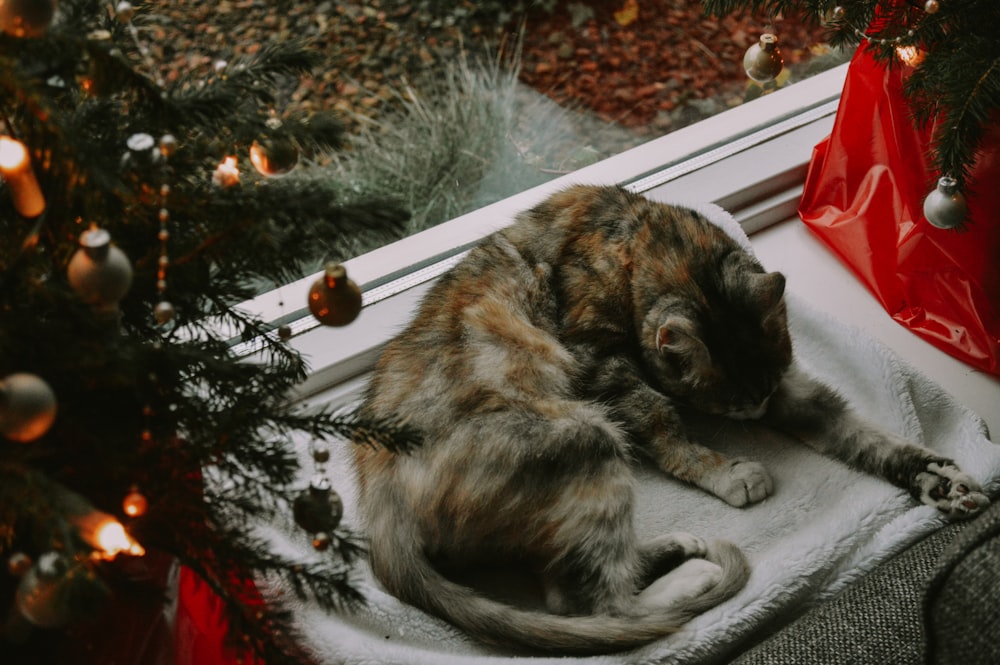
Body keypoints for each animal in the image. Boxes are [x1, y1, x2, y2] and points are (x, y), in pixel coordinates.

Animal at [348, 184, 988, 652]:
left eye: (759, 395)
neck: (638, 233)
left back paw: (673, 550)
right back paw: (691, 577)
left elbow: (864, 435)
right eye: (730, 406)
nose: (757, 411)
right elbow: (660, 421)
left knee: (574, 590)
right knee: (597, 606)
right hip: (586, 435)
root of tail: (379, 503)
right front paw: (725, 471)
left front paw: (940, 479)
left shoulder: (790, 388)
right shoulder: (603, 363)